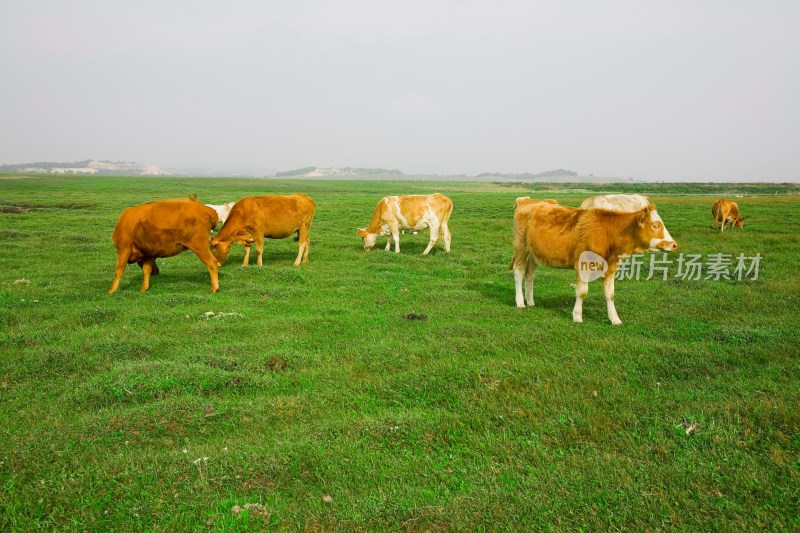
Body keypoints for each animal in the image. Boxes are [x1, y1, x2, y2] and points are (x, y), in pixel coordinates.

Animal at [512, 201, 676, 322]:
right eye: (655, 225)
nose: (674, 244)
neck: (608, 233)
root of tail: (527, 201)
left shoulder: (611, 268)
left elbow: (610, 294)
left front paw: (615, 319)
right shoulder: (582, 266)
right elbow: (582, 292)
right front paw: (577, 316)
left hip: (534, 253)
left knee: (530, 274)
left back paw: (530, 301)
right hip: (521, 246)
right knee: (519, 272)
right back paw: (520, 303)